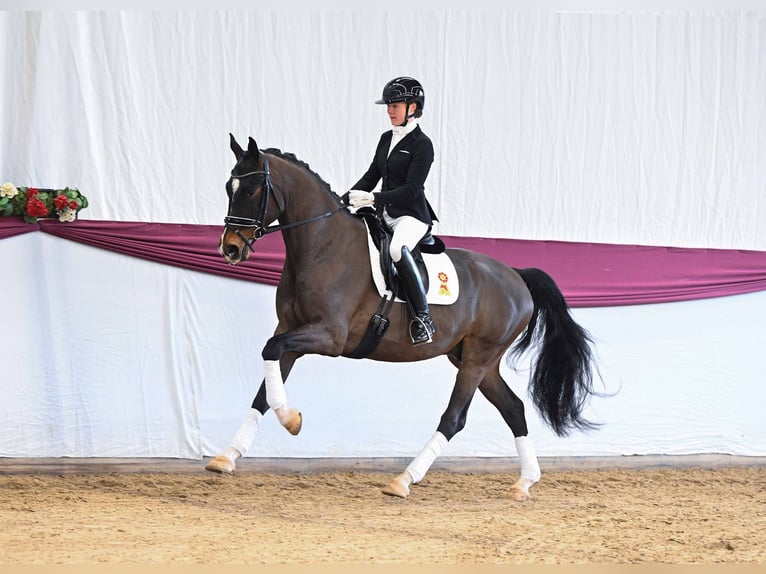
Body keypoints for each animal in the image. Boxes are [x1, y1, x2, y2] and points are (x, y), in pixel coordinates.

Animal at [205, 134, 600, 500]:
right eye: (228, 187)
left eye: (253, 190)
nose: (231, 249)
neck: (322, 246)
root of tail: (517, 276)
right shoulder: (291, 329)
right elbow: (264, 384)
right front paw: (227, 456)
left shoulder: (329, 336)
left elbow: (270, 351)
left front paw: (291, 420)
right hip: (476, 360)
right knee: (514, 409)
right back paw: (524, 483)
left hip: (478, 358)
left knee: (454, 419)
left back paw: (403, 480)